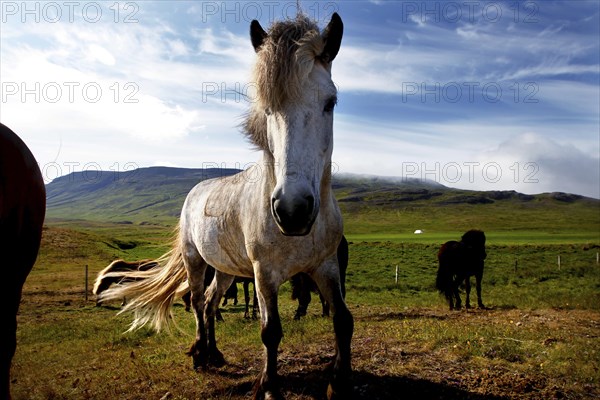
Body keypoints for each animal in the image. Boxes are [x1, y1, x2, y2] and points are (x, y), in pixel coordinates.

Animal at [99, 13, 352, 400]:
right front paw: (269, 388)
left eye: (331, 102)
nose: (292, 210)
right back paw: (200, 354)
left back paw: (214, 353)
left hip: (226, 269)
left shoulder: (325, 266)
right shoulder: (264, 276)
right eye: (267, 109)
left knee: (212, 301)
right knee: (197, 302)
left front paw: (338, 383)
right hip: (196, 261)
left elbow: (342, 319)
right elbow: (270, 331)